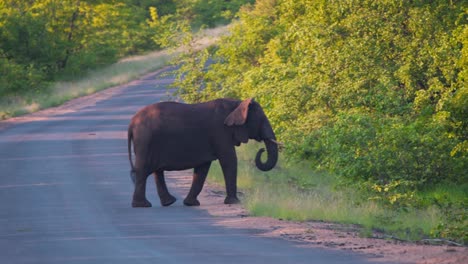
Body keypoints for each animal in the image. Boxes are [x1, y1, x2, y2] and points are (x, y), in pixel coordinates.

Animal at [127, 98, 278, 207]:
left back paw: (168, 202)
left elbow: (202, 168)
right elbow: (229, 160)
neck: (236, 104)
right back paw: (142, 205)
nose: (262, 149)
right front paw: (235, 202)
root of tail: (131, 123)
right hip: (145, 141)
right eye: (261, 120)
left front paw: (191, 204)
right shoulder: (220, 133)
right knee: (143, 170)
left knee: (156, 171)